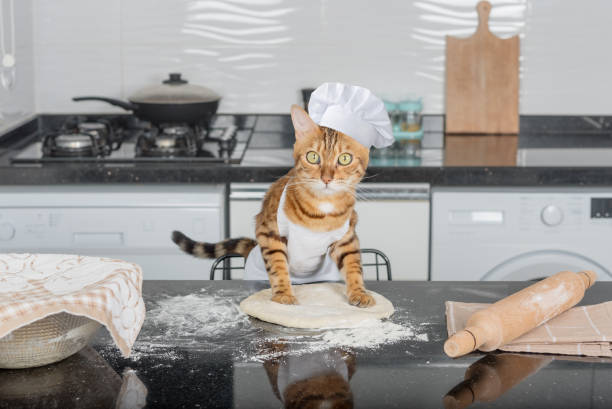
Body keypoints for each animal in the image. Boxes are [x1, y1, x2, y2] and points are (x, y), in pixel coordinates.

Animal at [170, 104, 376, 306]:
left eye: (345, 159)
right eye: (312, 157)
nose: (326, 178)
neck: (322, 209)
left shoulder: (347, 237)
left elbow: (353, 265)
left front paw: (359, 292)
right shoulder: (269, 231)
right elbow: (278, 265)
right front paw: (284, 293)